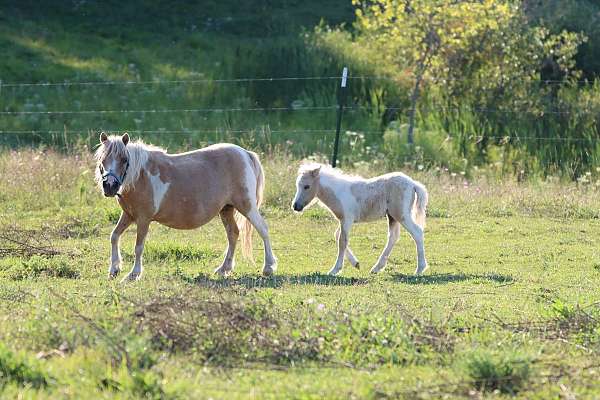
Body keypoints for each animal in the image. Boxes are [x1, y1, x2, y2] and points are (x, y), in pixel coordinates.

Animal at [95, 133, 276, 280]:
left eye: (124, 160)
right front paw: (114, 269)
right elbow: (114, 236)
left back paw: (268, 267)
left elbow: (138, 247)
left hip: (247, 206)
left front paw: (133, 274)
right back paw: (224, 268)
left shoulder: (143, 219)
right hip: (226, 209)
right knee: (233, 234)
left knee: (263, 229)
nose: (109, 186)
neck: (140, 176)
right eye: (102, 160)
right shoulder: (129, 215)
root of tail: (245, 153)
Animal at [290, 162, 426, 276]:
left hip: (402, 215)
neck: (338, 193)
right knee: (393, 237)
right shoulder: (343, 220)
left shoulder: (347, 219)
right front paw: (356, 263)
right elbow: (337, 235)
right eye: (297, 185)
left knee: (417, 233)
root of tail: (413, 184)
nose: (295, 206)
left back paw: (420, 269)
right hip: (392, 216)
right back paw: (376, 268)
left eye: (307, 186)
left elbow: (342, 241)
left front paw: (335, 270)